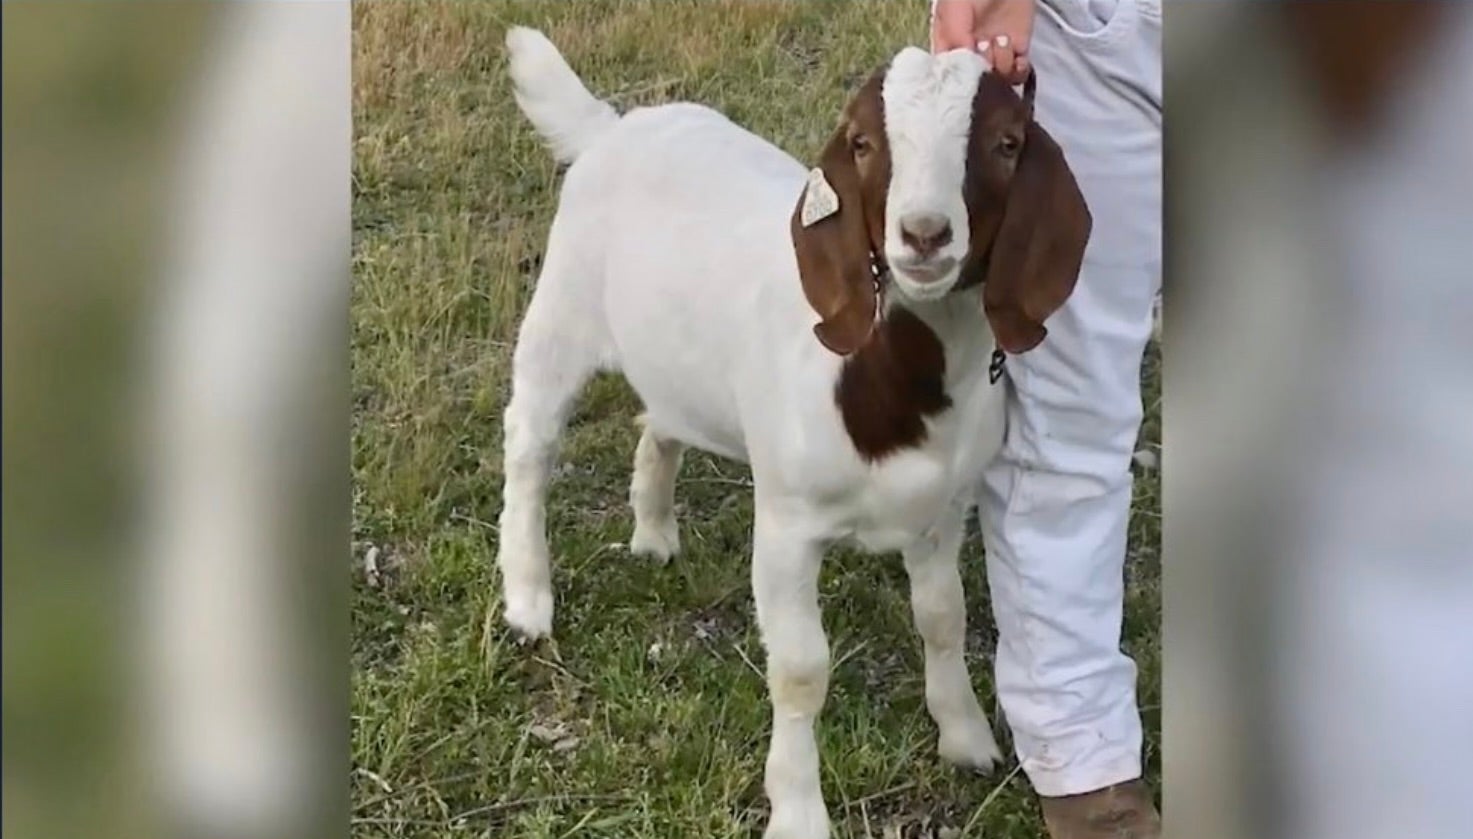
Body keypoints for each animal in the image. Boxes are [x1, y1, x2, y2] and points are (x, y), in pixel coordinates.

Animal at [500, 26, 1090, 836]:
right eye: (864, 143)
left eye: (1005, 142)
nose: (924, 235)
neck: (894, 381)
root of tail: (611, 129)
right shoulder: (786, 524)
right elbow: (803, 668)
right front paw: (799, 810)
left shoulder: (944, 513)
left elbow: (943, 616)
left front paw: (965, 735)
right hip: (560, 314)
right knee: (529, 444)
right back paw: (528, 599)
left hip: (676, 360)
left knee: (659, 421)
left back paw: (653, 532)